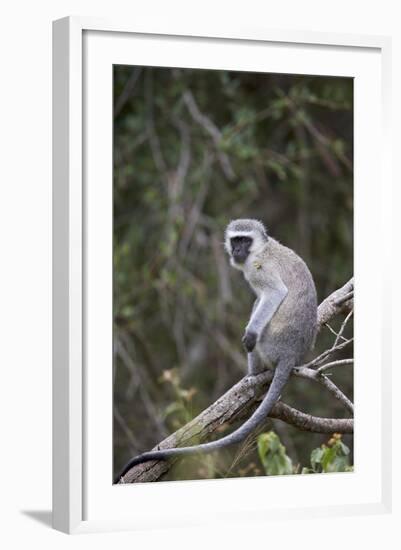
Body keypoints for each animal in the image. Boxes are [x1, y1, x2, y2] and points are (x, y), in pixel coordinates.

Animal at [114, 218, 318, 486]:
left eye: (245, 240)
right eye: (235, 240)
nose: (238, 250)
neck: (261, 249)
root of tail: (291, 354)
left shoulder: (258, 269)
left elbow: (274, 293)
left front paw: (250, 334)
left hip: (271, 344)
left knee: (258, 313)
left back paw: (253, 373)